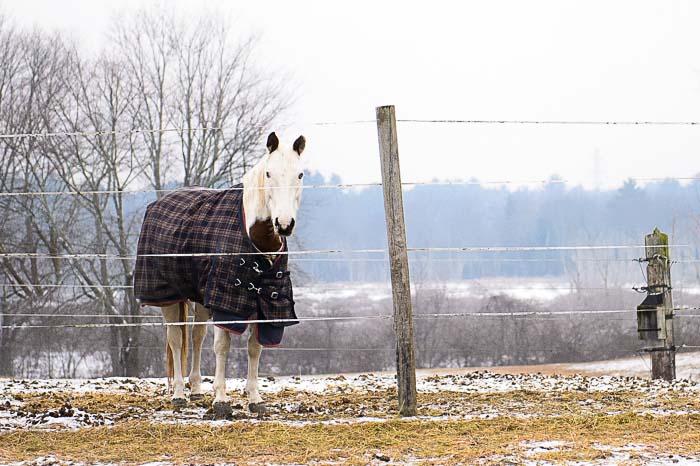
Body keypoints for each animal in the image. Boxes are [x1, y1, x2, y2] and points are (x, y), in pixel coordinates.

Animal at [134, 132, 305, 418]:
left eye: (300, 174)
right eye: (268, 173)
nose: (284, 224)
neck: (254, 237)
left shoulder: (265, 303)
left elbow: (254, 348)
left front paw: (254, 398)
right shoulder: (226, 304)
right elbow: (222, 347)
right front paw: (222, 400)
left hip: (202, 298)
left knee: (196, 336)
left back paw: (195, 389)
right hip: (168, 297)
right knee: (175, 340)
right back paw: (179, 394)